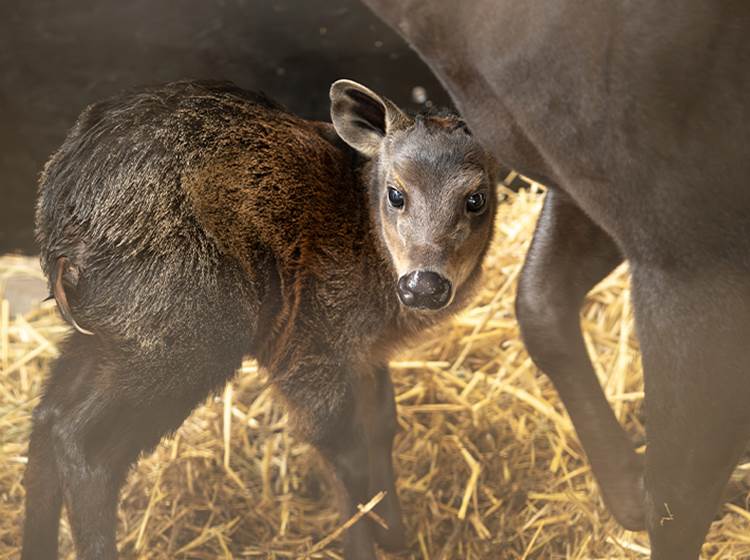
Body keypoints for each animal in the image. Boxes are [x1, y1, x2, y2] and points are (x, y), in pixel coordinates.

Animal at [20, 80, 496, 560]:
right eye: (396, 194)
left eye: (476, 198)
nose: (424, 284)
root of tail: (58, 235)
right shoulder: (311, 346)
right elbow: (345, 451)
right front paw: (368, 542)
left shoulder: (364, 355)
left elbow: (382, 425)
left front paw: (396, 535)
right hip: (190, 329)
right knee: (85, 441)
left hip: (110, 333)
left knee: (48, 415)